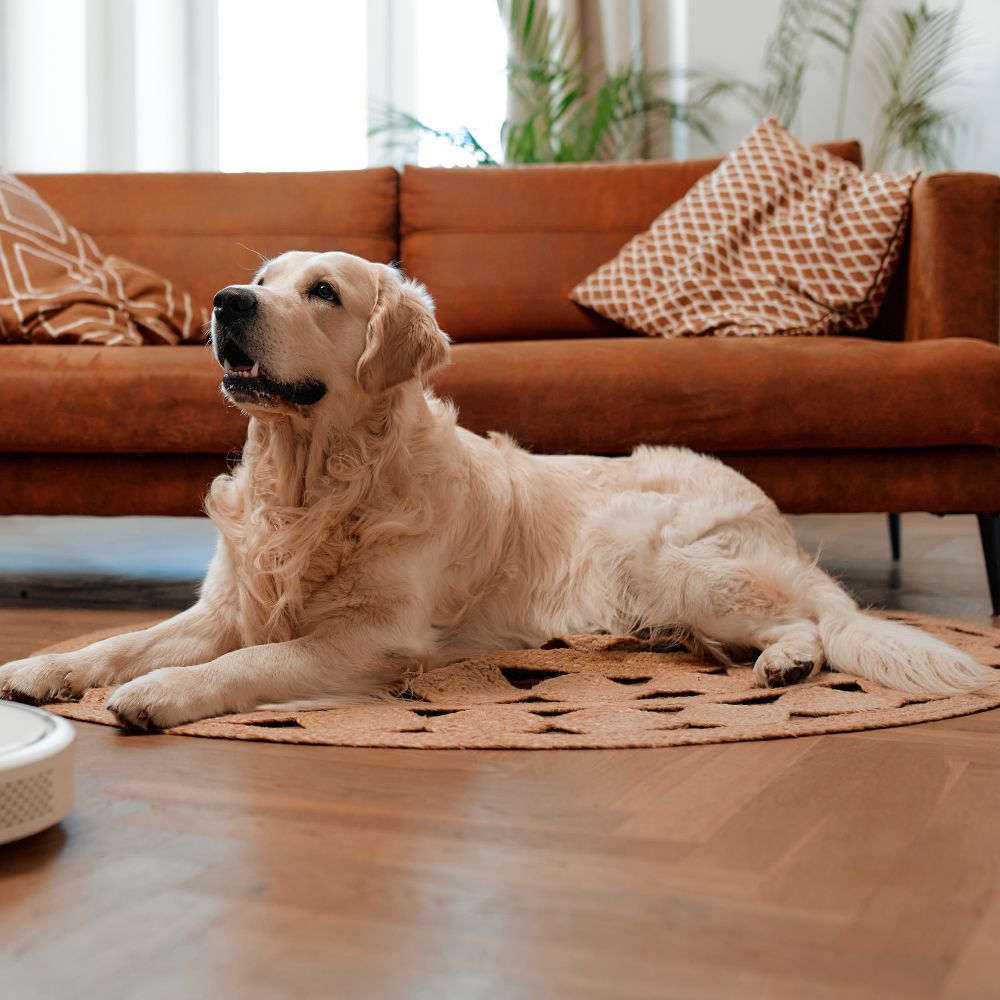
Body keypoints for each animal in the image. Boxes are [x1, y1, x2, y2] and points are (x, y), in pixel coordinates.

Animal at [1, 252, 992, 728]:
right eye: (262, 279)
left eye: (322, 291)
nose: (225, 301)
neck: (310, 483)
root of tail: (765, 509)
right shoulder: (227, 606)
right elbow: (127, 641)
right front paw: (45, 669)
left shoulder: (371, 639)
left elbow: (244, 665)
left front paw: (163, 694)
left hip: (661, 551)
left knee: (820, 619)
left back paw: (784, 662)